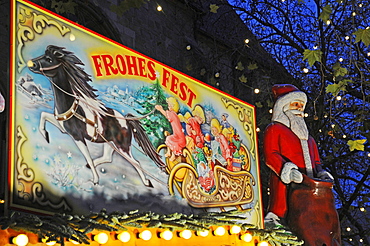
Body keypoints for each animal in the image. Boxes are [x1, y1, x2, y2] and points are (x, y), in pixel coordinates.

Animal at [26, 45, 164, 186]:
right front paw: (45, 135)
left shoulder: (77, 137)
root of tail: (126, 121)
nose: (31, 63)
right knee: (108, 157)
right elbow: (43, 115)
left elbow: (87, 156)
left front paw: (95, 180)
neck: (72, 106)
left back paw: (147, 182)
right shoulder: (62, 126)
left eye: (49, 59)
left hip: (122, 147)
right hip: (110, 143)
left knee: (135, 163)